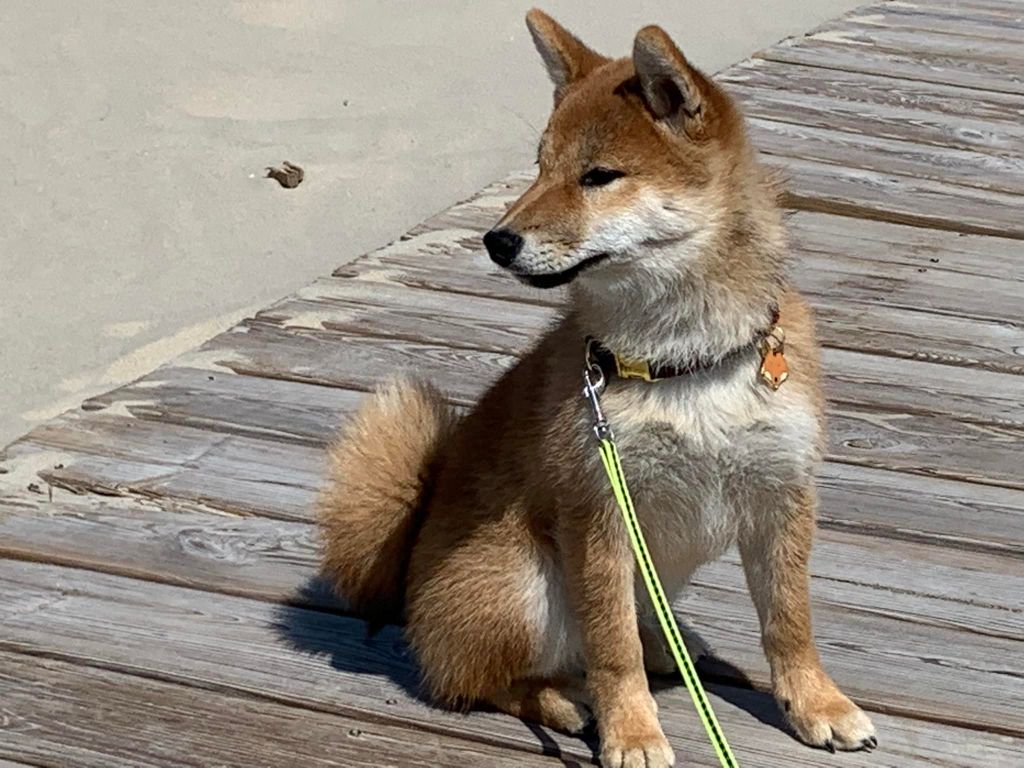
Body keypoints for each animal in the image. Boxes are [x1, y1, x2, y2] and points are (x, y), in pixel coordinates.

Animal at [319, 9, 877, 767]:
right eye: (539, 167)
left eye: (599, 176)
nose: (497, 240)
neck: (686, 362)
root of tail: (405, 569)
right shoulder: (600, 511)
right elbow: (612, 650)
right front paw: (634, 732)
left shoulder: (782, 494)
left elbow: (789, 621)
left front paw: (817, 704)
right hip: (525, 584)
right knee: (479, 680)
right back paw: (565, 700)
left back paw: (669, 648)